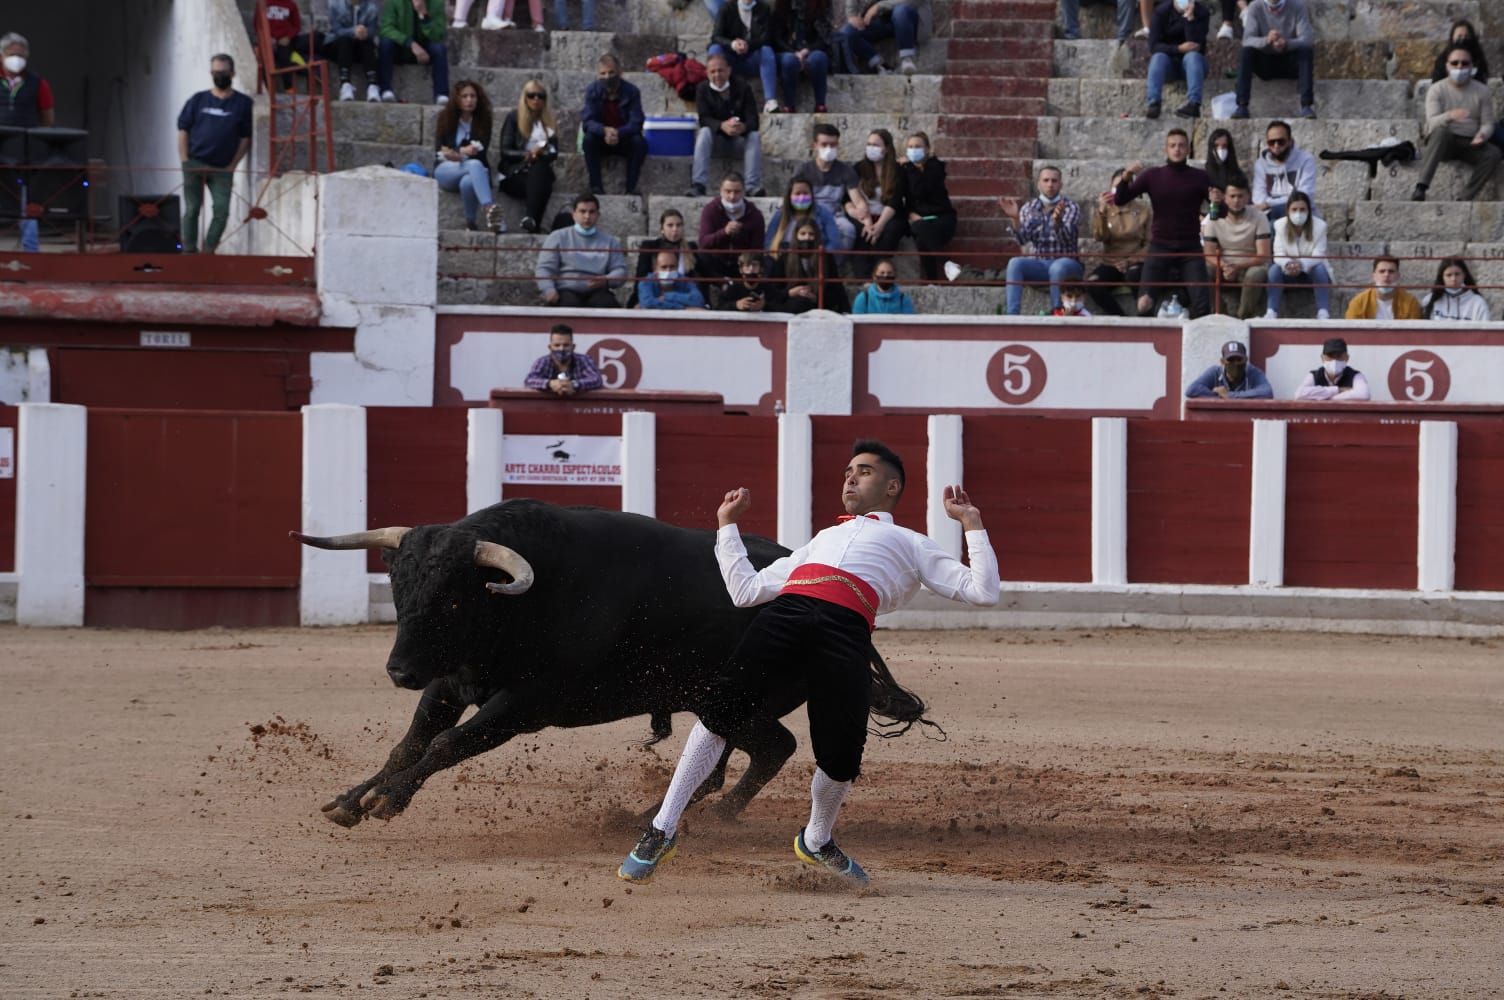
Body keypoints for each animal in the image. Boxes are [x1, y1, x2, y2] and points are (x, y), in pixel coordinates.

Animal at [291, 499, 926, 824]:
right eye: (398, 588)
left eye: (451, 597)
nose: (399, 671)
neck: (518, 603)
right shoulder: (449, 682)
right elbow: (411, 743)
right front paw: (351, 800)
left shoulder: (527, 705)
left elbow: (446, 744)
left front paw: (387, 800)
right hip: (721, 701)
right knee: (752, 753)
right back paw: (661, 814)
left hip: (740, 700)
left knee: (771, 750)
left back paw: (705, 820)